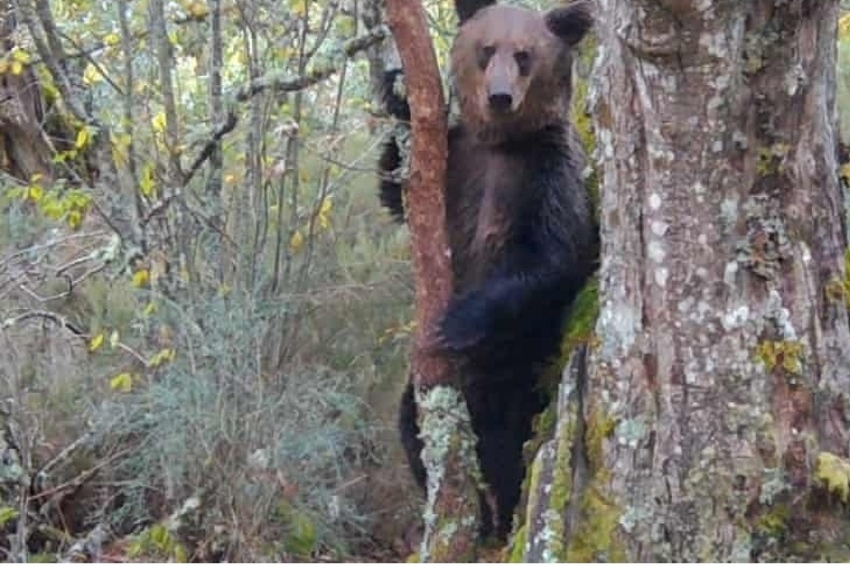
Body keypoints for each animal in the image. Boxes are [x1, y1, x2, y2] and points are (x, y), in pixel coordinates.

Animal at [378, 0, 596, 540]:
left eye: (524, 55)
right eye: (486, 50)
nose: (500, 97)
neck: (501, 144)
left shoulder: (547, 174)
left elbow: (553, 258)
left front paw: (457, 320)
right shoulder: (457, 164)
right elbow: (394, 192)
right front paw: (397, 92)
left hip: (522, 366)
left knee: (509, 445)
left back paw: (499, 519)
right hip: (428, 391)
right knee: (412, 427)